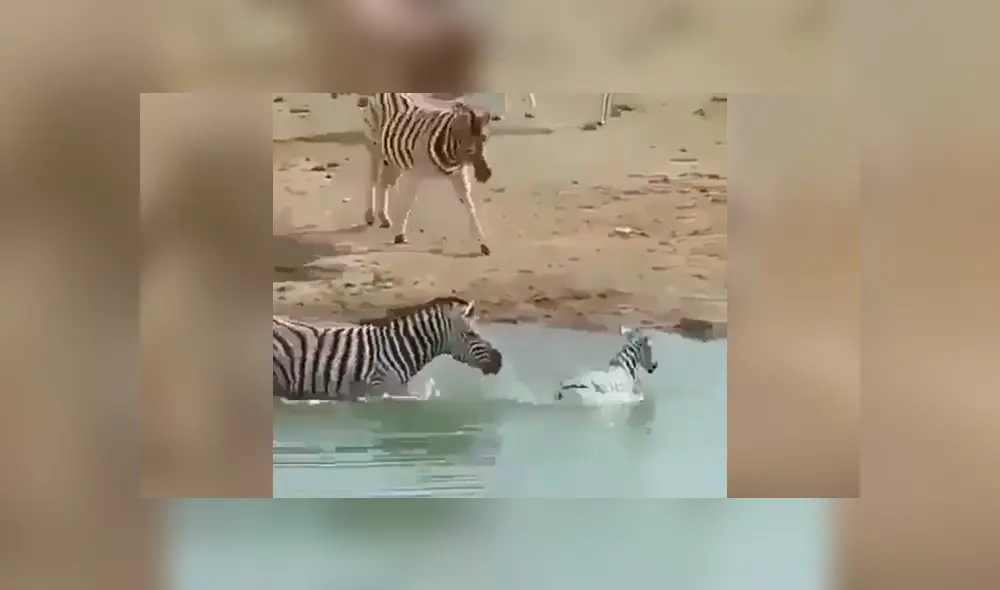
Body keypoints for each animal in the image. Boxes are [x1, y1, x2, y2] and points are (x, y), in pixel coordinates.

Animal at [357, 93, 495, 256]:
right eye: (469, 148)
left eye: (484, 140)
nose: (485, 175)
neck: (451, 151)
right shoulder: (416, 174)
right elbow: (408, 201)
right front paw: (399, 235)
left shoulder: (458, 175)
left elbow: (470, 206)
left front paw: (482, 244)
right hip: (375, 147)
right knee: (372, 179)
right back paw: (370, 215)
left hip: (393, 157)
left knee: (384, 182)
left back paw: (383, 217)